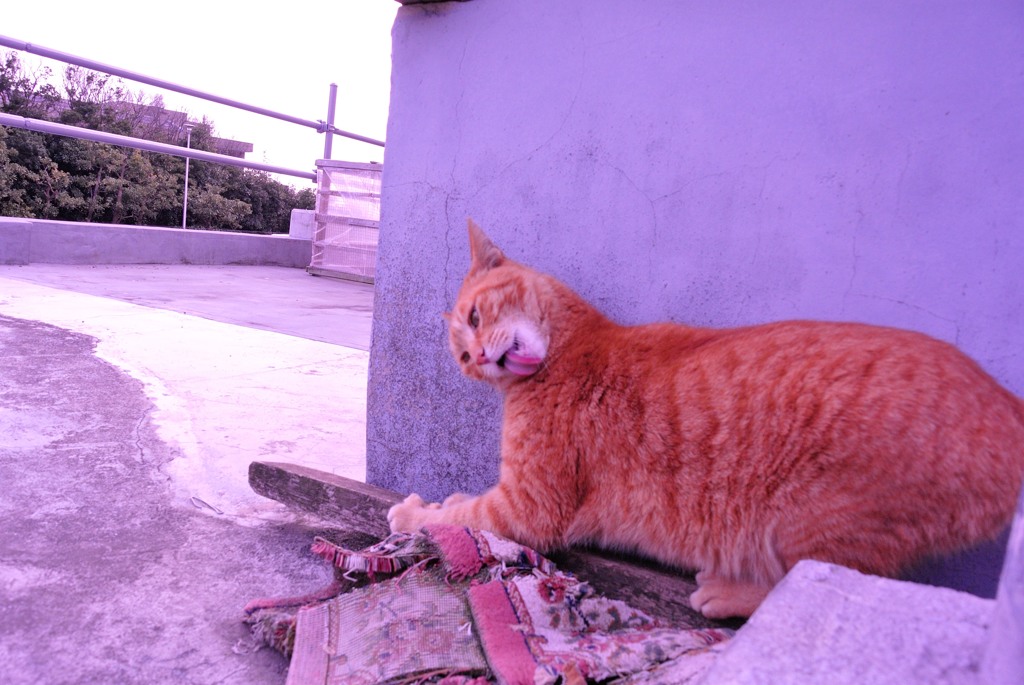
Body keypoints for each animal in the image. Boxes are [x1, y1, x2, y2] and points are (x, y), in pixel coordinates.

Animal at [387, 219, 1024, 618]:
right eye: (462, 359)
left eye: (475, 317)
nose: (479, 359)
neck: (575, 347)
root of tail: (1006, 405)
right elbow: (462, 509)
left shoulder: (528, 505)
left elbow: (457, 516)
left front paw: (414, 511)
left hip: (815, 522)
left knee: (822, 589)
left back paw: (726, 592)